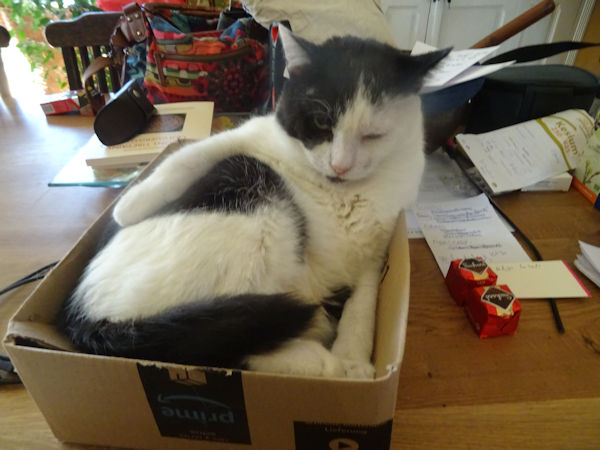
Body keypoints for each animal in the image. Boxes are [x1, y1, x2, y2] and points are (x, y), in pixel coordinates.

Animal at [58, 28, 449, 379]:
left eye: (373, 135)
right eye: (321, 122)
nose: (340, 166)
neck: (340, 193)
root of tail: (82, 317)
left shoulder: (374, 255)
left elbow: (363, 307)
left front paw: (354, 359)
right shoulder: (247, 140)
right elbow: (189, 156)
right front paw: (130, 205)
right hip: (256, 194)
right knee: (218, 347)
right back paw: (319, 357)